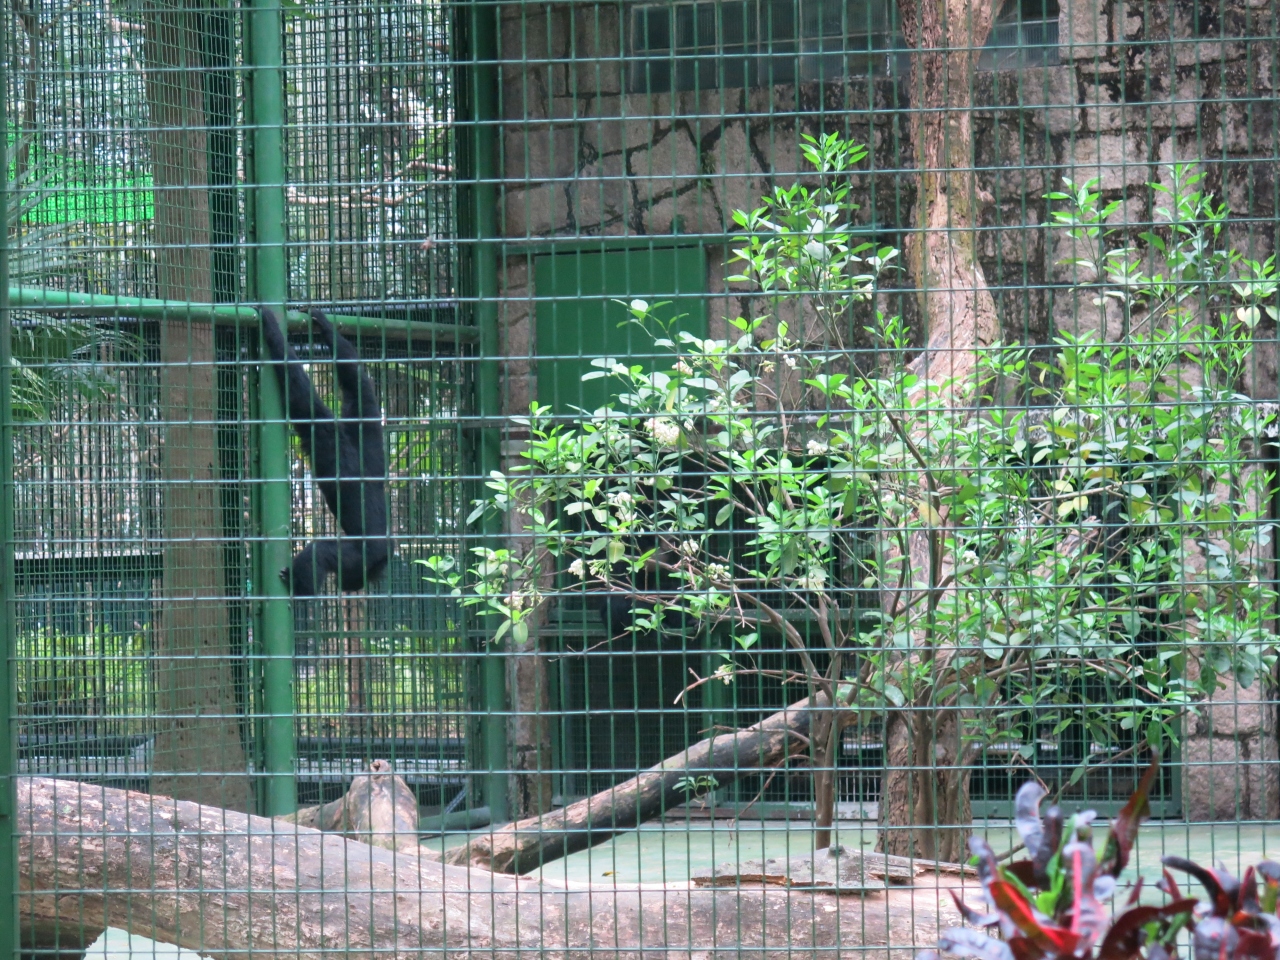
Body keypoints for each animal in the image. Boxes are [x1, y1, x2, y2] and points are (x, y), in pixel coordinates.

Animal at [260, 308, 391, 596]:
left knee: (320, 553)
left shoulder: (326, 438)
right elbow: (358, 387)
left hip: (359, 556)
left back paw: (299, 586)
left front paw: (270, 324)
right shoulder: (367, 439)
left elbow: (302, 397)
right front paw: (326, 327)